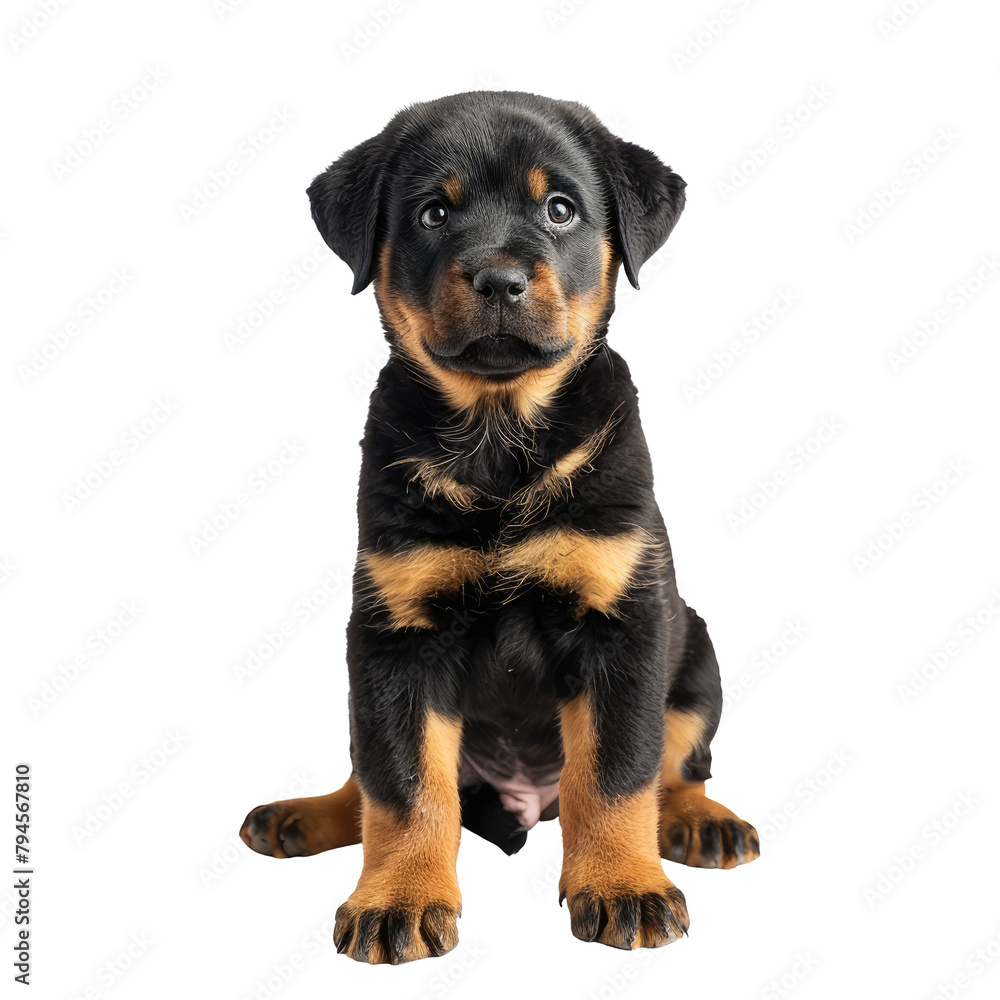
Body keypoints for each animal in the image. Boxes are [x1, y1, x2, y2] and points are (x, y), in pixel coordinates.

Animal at [242, 90, 756, 964]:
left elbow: (616, 772)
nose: (499, 278)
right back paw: (304, 816)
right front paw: (399, 901)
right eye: (433, 213)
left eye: (560, 209)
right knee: (366, 780)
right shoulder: (398, 636)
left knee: (675, 766)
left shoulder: (622, 623)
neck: (498, 442)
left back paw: (699, 824)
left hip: (695, 653)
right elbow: (407, 785)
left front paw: (625, 887)